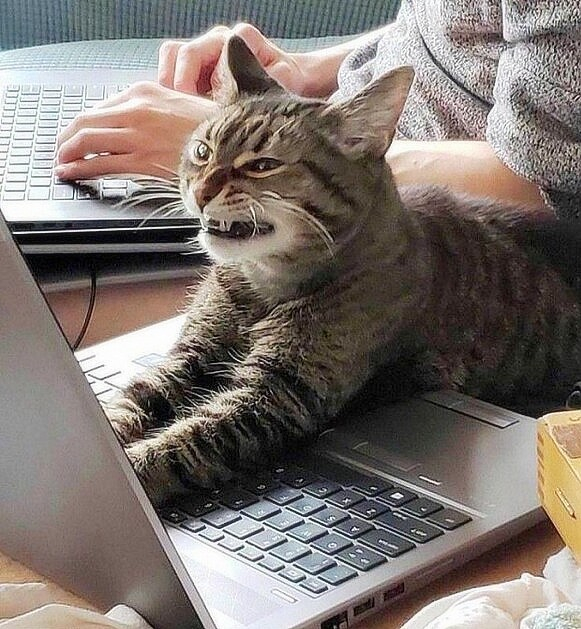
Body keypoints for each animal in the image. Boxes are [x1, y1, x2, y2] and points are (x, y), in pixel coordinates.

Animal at [107, 35, 580, 506]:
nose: (201, 191)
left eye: (263, 165)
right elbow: (130, 402)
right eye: (202, 152)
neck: (264, 285)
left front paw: (134, 467)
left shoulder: (276, 396)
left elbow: (183, 445)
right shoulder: (189, 356)